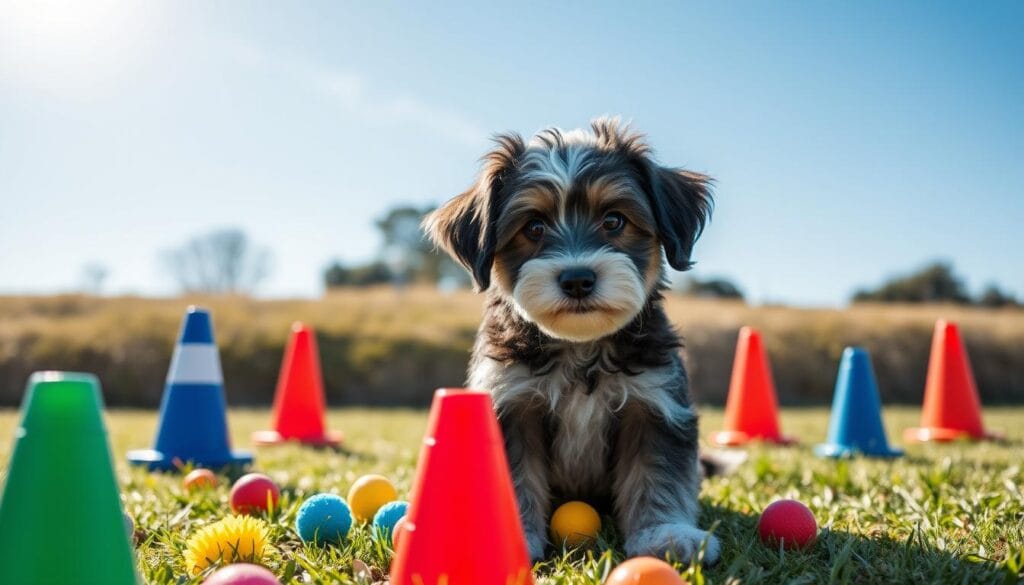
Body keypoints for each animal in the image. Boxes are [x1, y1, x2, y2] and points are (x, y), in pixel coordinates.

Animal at [423, 117, 720, 561]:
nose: (578, 279)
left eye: (613, 221)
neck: (581, 349)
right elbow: (515, 477)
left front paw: (665, 533)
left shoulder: (655, 404)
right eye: (533, 227)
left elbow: (657, 473)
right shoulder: (512, 405)